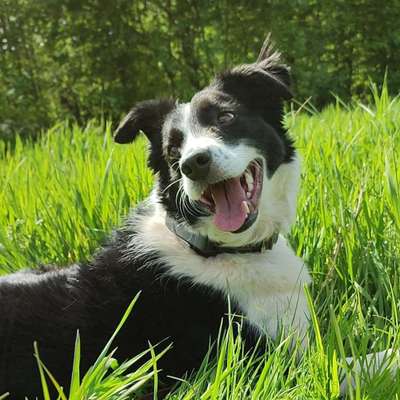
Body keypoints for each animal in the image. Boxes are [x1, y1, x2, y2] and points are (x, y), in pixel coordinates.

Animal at [0, 38, 396, 396]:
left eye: (226, 117)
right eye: (173, 149)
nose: (193, 163)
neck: (218, 249)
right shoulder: (271, 365)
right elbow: (371, 360)